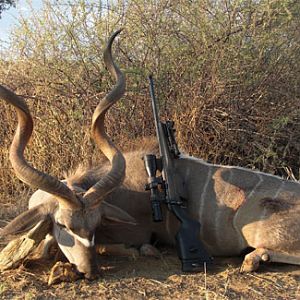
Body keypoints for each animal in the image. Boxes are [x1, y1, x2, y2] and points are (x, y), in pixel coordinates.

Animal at [0, 31, 300, 282]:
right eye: (62, 224)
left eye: (95, 224)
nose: (90, 271)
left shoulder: (134, 233)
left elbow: (132, 247)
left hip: (251, 229)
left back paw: (254, 258)